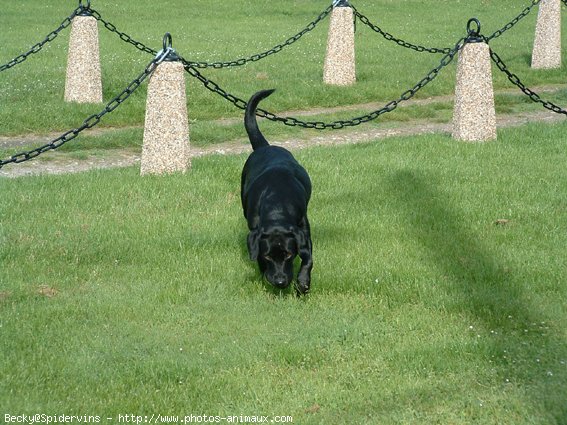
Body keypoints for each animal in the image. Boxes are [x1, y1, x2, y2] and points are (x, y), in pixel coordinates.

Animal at [239, 88, 312, 294]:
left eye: (288, 254)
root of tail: (265, 147)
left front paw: (303, 282)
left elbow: (308, 258)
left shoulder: (304, 230)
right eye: (268, 256)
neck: (276, 204)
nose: (280, 282)